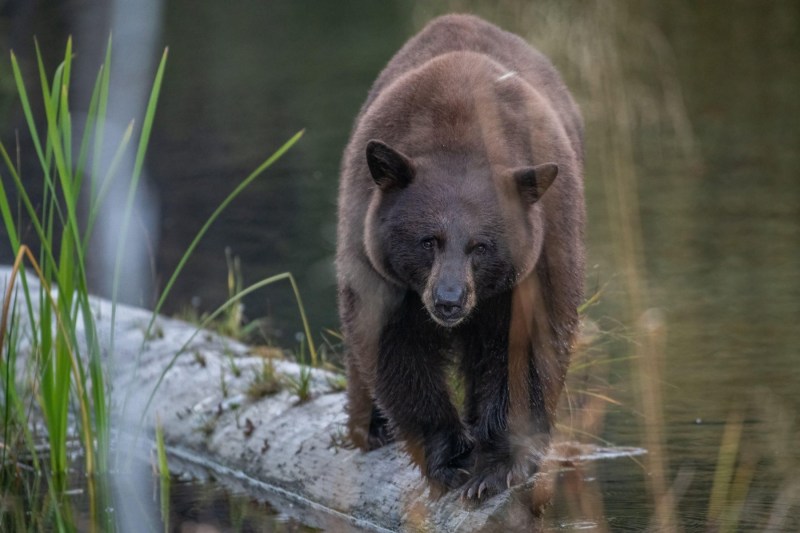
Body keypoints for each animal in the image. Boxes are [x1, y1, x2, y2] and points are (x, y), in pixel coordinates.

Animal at [334, 14, 584, 500]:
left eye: (480, 246)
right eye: (427, 241)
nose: (449, 300)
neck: (461, 133)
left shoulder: (544, 248)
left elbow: (528, 342)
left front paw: (498, 464)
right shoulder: (378, 258)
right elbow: (393, 343)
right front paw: (450, 457)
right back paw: (369, 426)